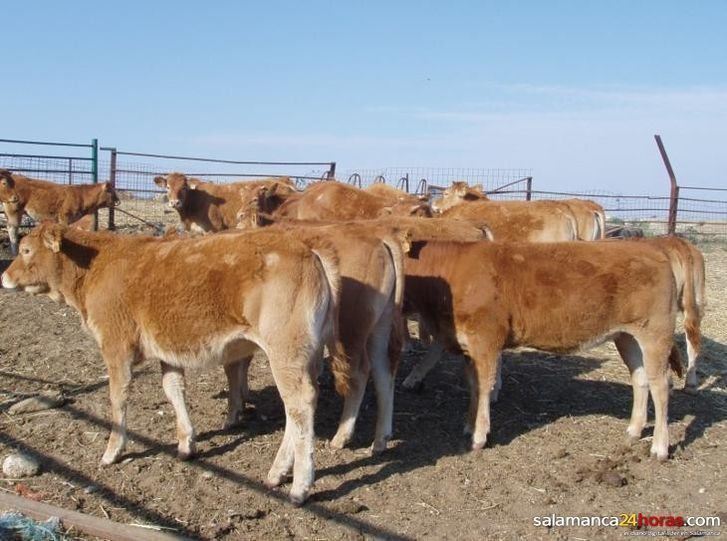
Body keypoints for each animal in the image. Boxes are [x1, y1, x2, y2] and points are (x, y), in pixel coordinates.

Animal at [0, 221, 344, 504]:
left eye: (27, 250)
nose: (4, 275)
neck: (98, 265)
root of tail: (308, 251)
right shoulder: (167, 353)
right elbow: (173, 390)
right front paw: (186, 444)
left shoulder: (116, 347)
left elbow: (118, 399)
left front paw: (112, 451)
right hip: (303, 355)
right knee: (295, 409)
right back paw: (277, 472)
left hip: (286, 351)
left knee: (299, 405)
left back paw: (300, 486)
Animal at [404, 238, 684, 458]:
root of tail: (652, 248)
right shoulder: (468, 347)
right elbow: (473, 386)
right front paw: (469, 424)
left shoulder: (485, 340)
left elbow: (484, 386)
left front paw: (479, 436)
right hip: (627, 337)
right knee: (640, 379)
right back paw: (634, 430)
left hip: (655, 334)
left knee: (661, 386)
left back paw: (659, 447)